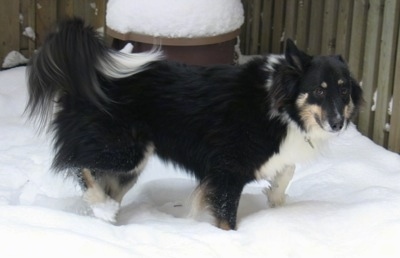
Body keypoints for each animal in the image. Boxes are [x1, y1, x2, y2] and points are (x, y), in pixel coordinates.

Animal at [25, 17, 362, 230]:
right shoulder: (227, 171)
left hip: (128, 163)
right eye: (319, 90)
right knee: (78, 165)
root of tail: (90, 72)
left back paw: (107, 220)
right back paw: (101, 207)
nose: (337, 123)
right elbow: (227, 218)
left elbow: (288, 169)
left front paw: (278, 199)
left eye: (344, 89)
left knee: (100, 179)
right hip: (125, 151)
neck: (279, 104)